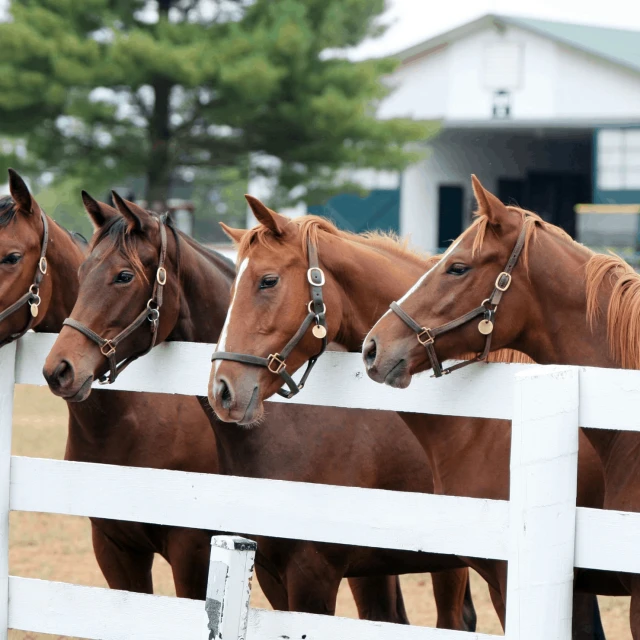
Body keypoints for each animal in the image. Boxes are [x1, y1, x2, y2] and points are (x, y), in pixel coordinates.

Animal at [41, 191, 480, 632]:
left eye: (123, 276)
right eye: (82, 271)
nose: (59, 368)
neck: (298, 430)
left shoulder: (309, 575)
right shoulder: (269, 571)